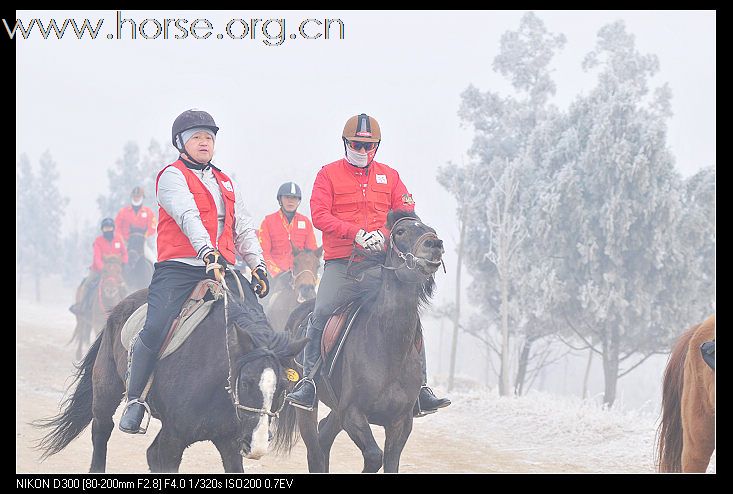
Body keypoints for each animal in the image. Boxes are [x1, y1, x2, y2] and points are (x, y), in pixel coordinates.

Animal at [33, 276, 308, 472]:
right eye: (248, 382)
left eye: (283, 388)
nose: (257, 443)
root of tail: (120, 307)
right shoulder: (173, 441)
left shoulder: (229, 444)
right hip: (105, 390)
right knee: (101, 430)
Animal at [278, 210, 444, 472]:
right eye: (400, 232)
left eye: (431, 230)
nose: (435, 245)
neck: (387, 345)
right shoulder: (353, 414)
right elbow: (374, 456)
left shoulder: (400, 423)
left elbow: (389, 461)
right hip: (308, 408)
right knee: (315, 450)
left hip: (337, 410)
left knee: (324, 438)